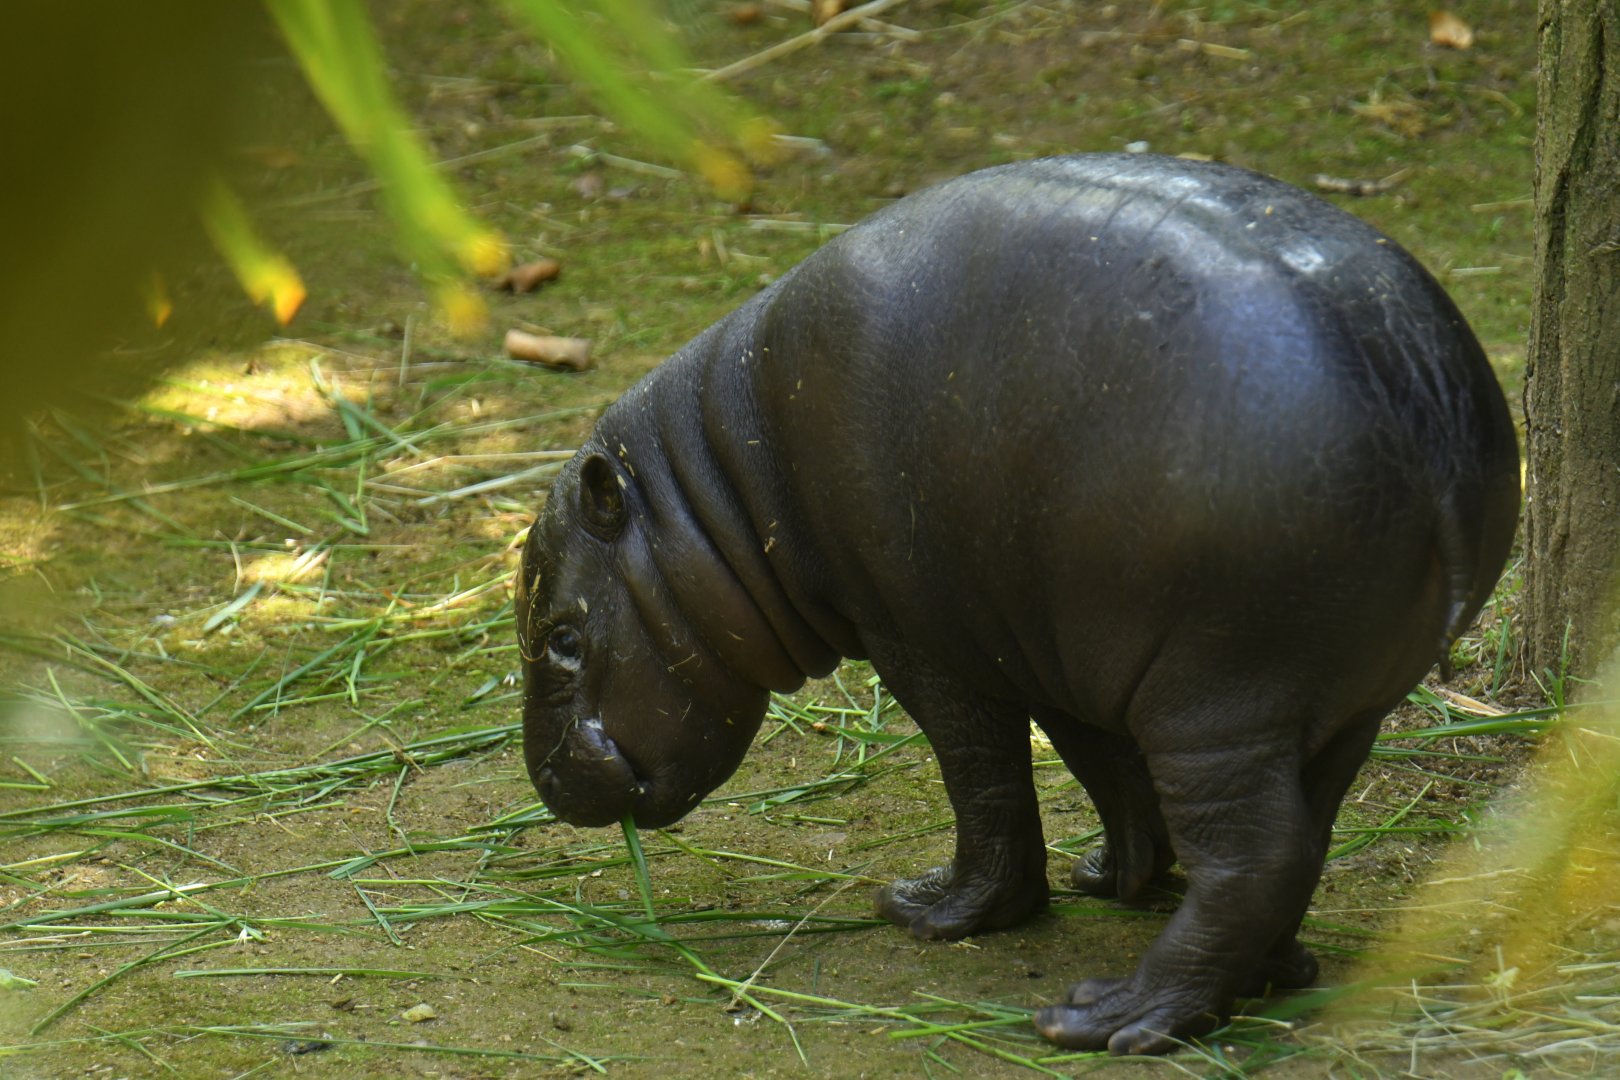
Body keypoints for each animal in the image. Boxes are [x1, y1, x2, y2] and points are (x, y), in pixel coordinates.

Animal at [515, 154, 1519, 1054]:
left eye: (561, 637)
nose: (547, 781)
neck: (718, 487)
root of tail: (1418, 406)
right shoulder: (1054, 640)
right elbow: (1103, 764)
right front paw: (1112, 877)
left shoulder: (925, 638)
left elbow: (982, 772)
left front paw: (932, 910)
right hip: (1337, 692)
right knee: (1308, 831)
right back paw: (1272, 976)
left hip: (1222, 692)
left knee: (1259, 856)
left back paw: (1109, 1019)